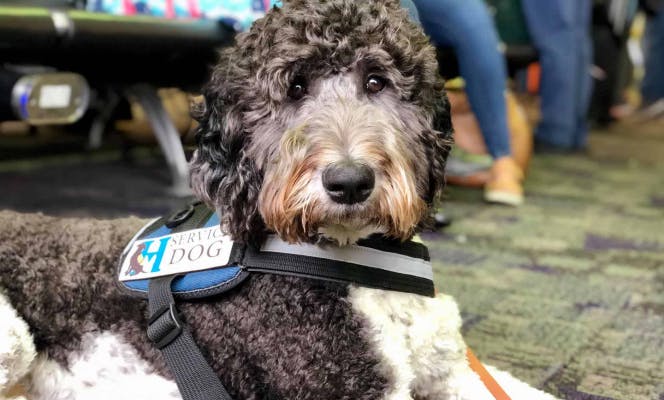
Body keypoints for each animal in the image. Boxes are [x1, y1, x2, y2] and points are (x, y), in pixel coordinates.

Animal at [1, 1, 560, 398]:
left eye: (376, 81)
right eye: (294, 88)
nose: (349, 181)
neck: (361, 262)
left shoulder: (452, 373)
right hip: (12, 340)